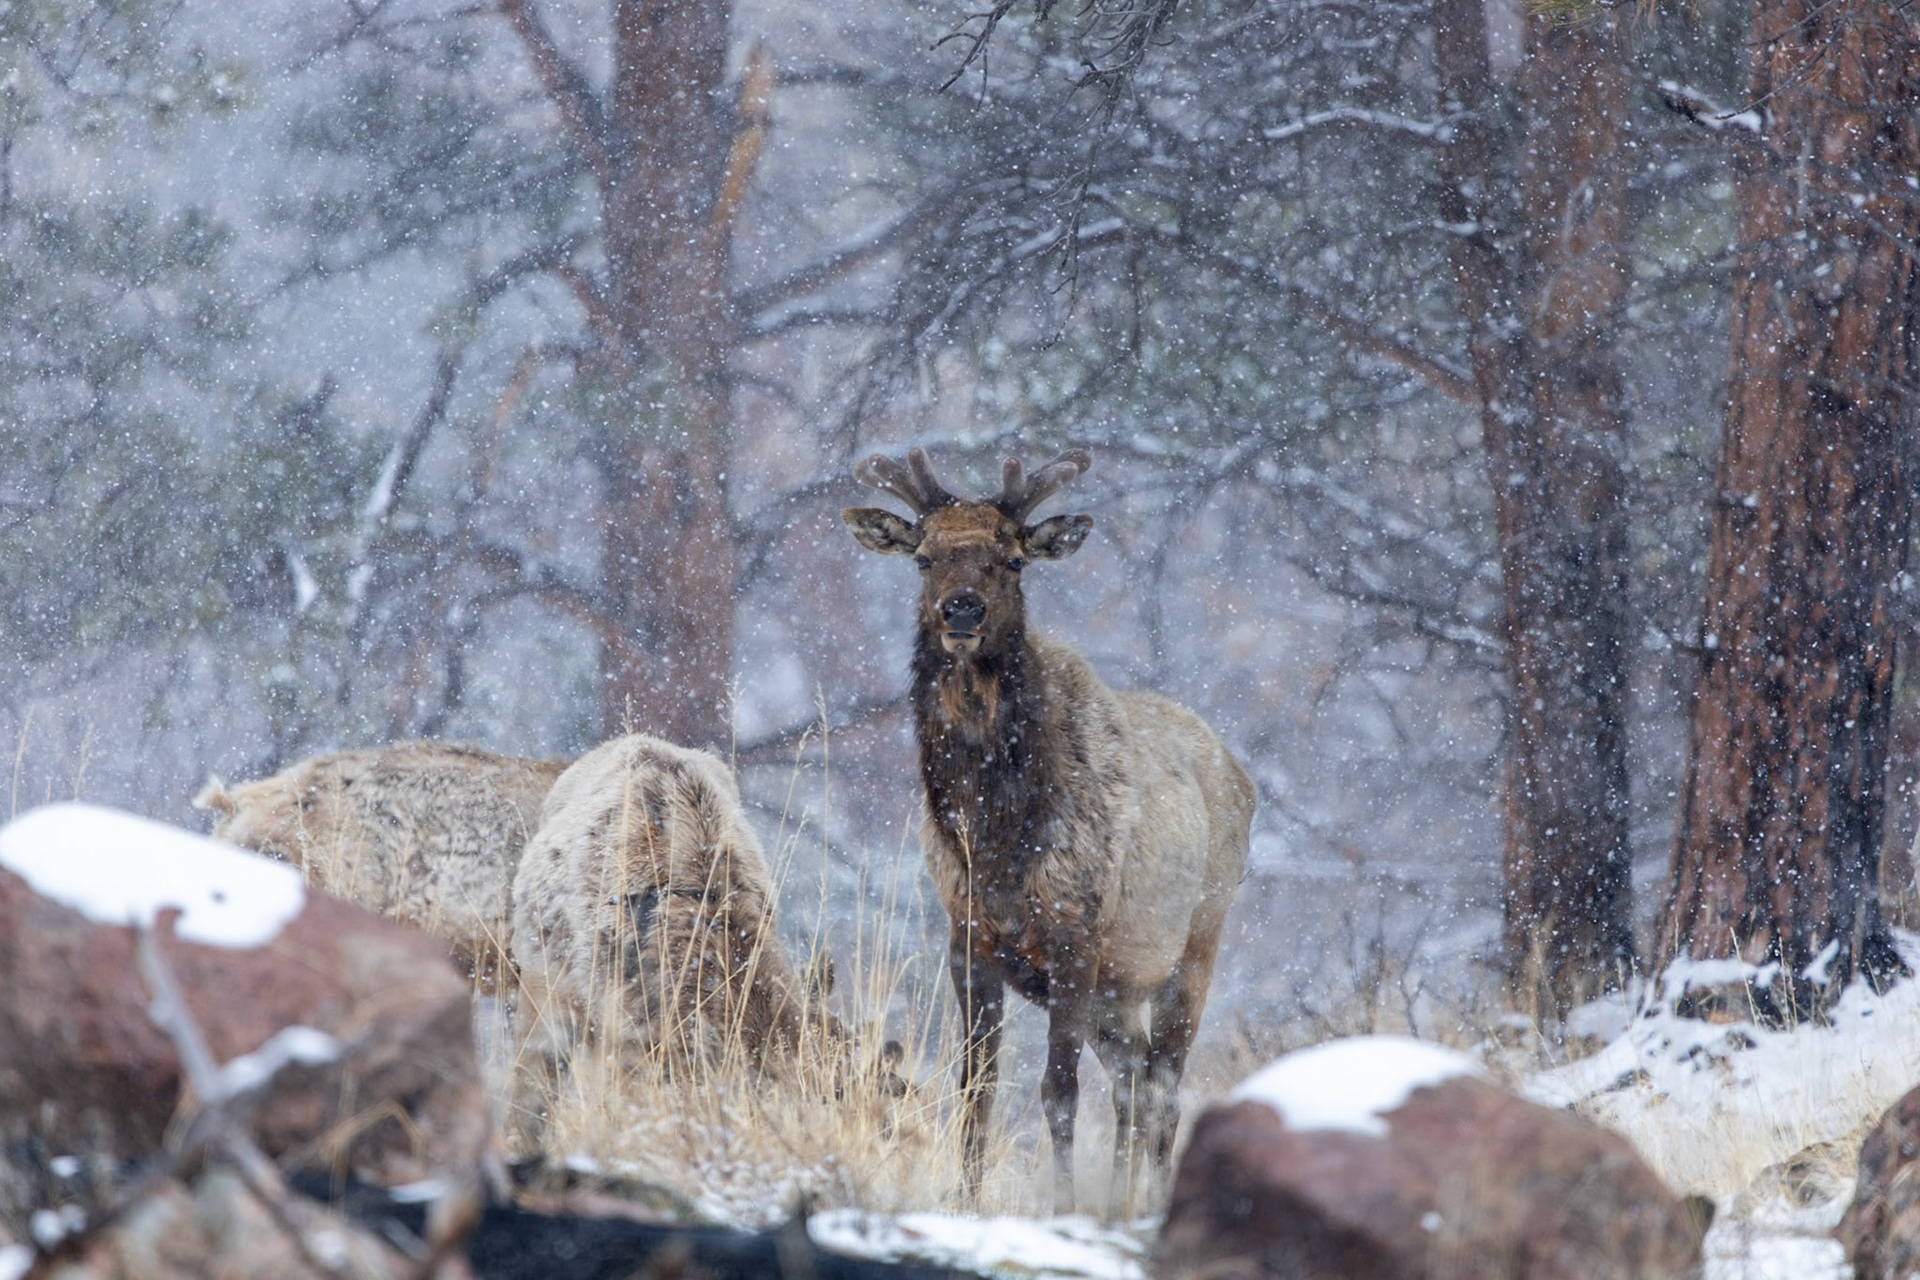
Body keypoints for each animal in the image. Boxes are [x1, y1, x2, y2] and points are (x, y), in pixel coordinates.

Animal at [843, 446, 1254, 1212]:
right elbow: (976, 1086)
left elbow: (1058, 1090)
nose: (961, 609)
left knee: (1163, 1087)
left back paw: (1148, 1200)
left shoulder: (1075, 932)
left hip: (1194, 946)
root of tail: (1243, 778)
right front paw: (965, 1201)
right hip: (1115, 992)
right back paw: (1121, 1195)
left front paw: (1061, 1206)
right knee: (1132, 1081)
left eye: (1012, 560)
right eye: (923, 556)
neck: (997, 838)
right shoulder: (967, 937)